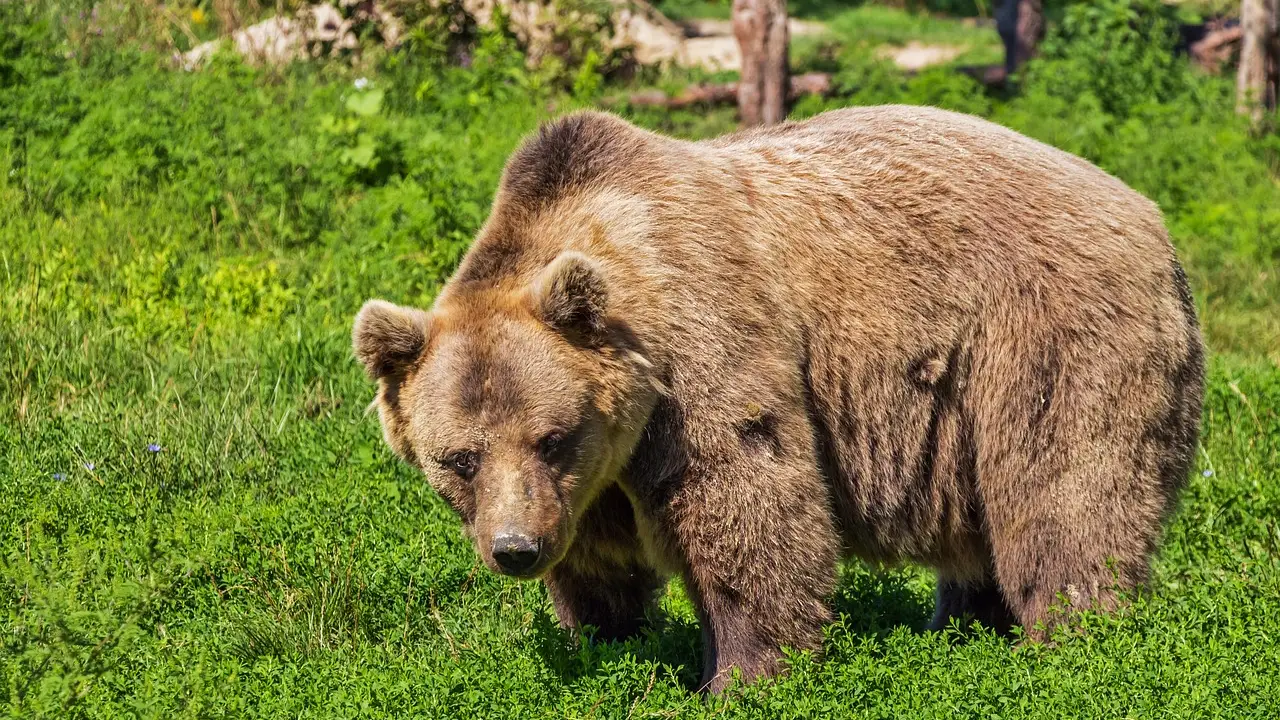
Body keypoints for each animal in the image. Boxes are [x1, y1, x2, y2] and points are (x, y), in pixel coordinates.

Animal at [352, 106, 1205, 693]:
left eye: (551, 436)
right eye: (459, 459)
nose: (515, 549)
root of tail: (1152, 218)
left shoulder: (701, 354)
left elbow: (747, 502)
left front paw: (740, 676)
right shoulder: (592, 478)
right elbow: (598, 562)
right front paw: (607, 640)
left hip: (1044, 337)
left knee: (1064, 493)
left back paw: (1072, 639)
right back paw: (963, 627)